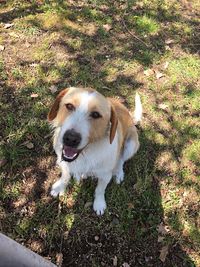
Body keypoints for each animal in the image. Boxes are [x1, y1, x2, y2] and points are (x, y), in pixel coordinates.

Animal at [48, 88, 142, 216]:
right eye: (69, 106)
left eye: (96, 114)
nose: (70, 139)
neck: (87, 152)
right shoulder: (64, 162)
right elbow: (65, 176)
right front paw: (59, 187)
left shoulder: (105, 175)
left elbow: (100, 190)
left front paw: (99, 204)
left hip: (131, 144)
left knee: (121, 160)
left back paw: (118, 173)